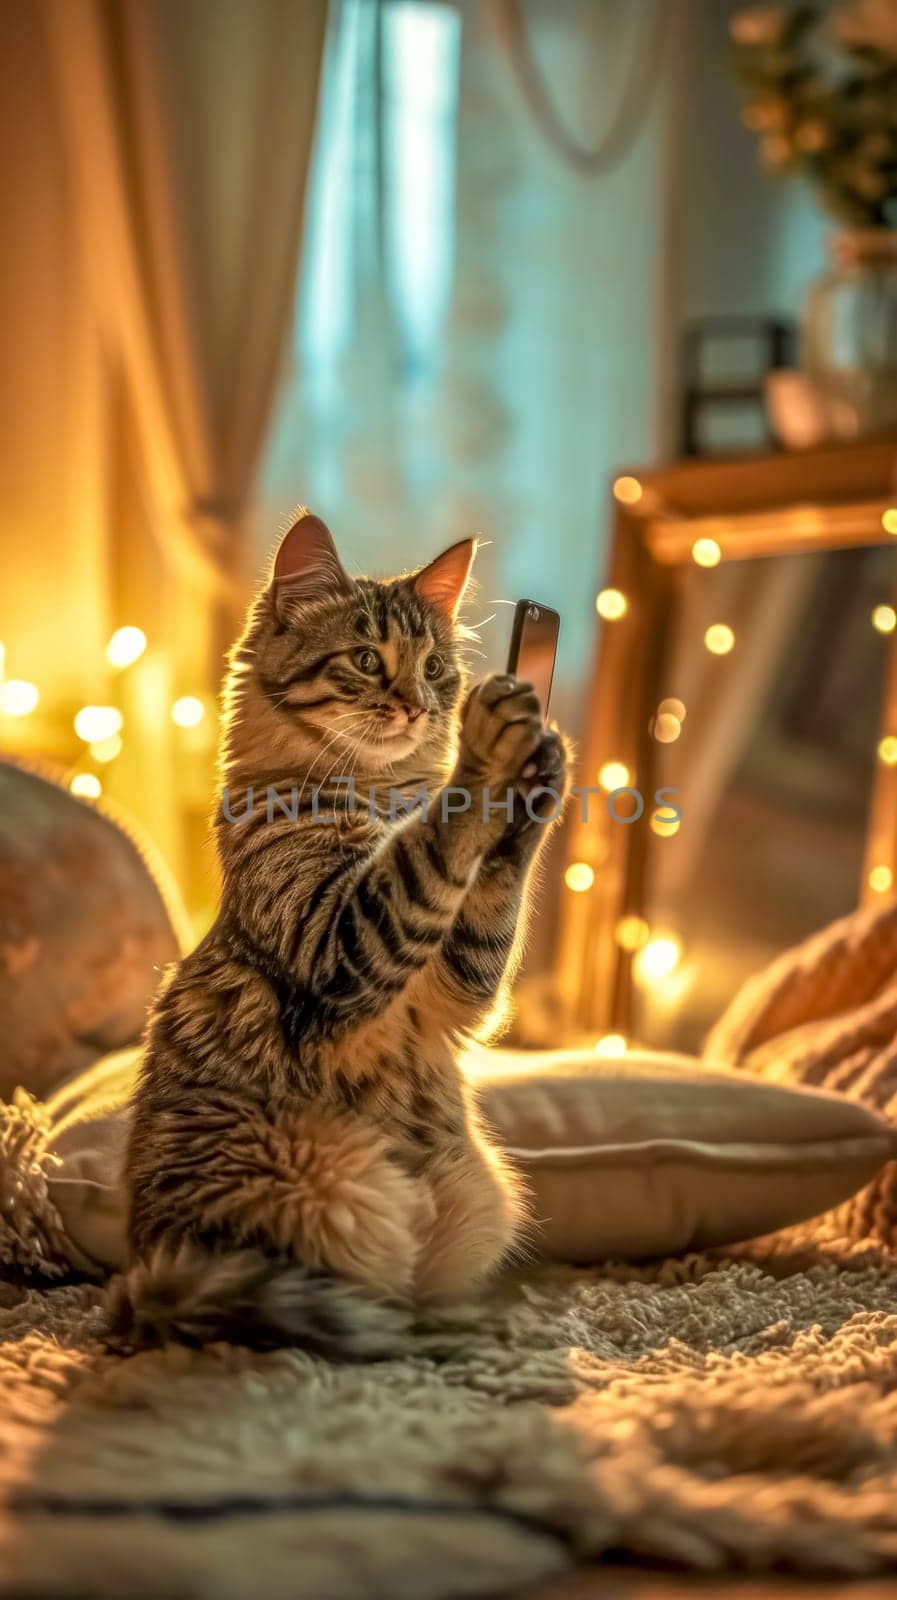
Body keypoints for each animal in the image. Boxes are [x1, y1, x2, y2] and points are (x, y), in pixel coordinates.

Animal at [117, 512, 566, 1350]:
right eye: (365, 661)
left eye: (432, 666)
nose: (421, 706)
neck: (377, 795)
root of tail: (141, 1279)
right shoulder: (340, 945)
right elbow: (432, 844)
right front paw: (488, 754)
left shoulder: (458, 977)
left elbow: (489, 881)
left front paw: (537, 770)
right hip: (317, 1181)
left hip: (475, 1192)